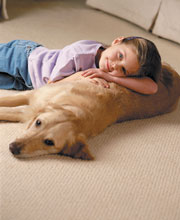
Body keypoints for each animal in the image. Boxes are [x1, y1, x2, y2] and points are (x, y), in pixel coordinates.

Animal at [0, 62, 179, 159]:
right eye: (38, 123)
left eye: (49, 142)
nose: (13, 147)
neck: (77, 110)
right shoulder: (32, 95)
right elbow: (6, 101)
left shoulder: (26, 109)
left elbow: (6, 110)